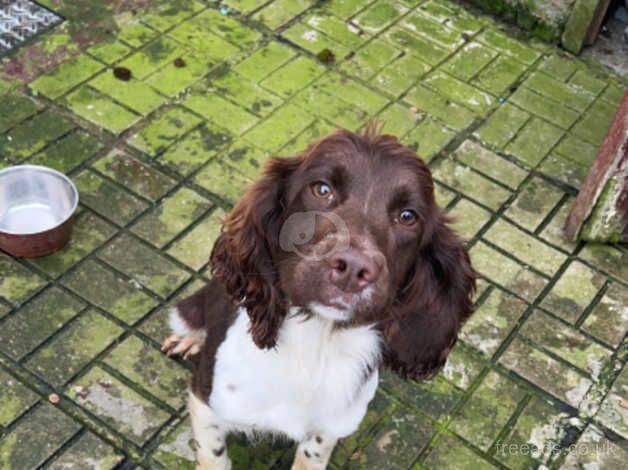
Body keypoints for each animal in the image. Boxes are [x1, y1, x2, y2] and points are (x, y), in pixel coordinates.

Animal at [162, 125, 476, 470]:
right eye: (322, 189)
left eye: (408, 216)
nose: (353, 268)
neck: (314, 344)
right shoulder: (206, 402)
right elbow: (213, 455)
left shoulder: (333, 425)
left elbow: (312, 455)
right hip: (188, 310)